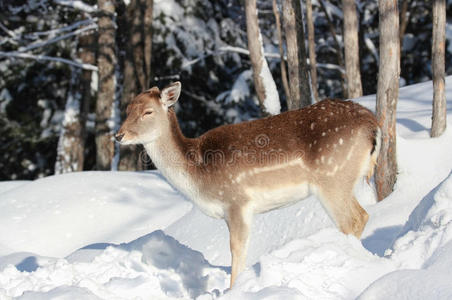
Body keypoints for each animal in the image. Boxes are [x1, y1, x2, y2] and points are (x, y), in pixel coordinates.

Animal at [115, 82, 382, 288]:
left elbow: (237, 249)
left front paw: (233, 290)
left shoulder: (237, 200)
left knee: (355, 219)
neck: (197, 174)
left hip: (333, 178)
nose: (118, 135)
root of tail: (374, 125)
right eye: (127, 109)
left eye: (148, 112)